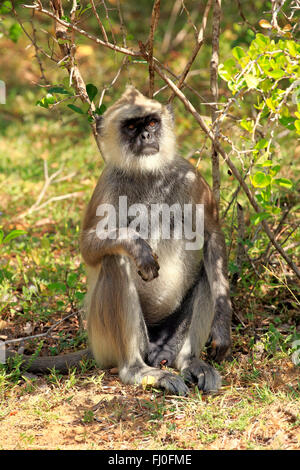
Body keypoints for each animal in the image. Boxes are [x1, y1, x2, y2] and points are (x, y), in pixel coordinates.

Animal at [80, 86, 232, 394]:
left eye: (151, 123)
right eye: (131, 127)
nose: (146, 137)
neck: (147, 172)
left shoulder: (189, 175)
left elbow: (212, 235)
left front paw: (222, 326)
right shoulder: (108, 183)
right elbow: (87, 248)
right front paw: (138, 247)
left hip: (168, 332)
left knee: (207, 270)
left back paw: (189, 361)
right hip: (104, 340)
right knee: (115, 260)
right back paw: (137, 370)